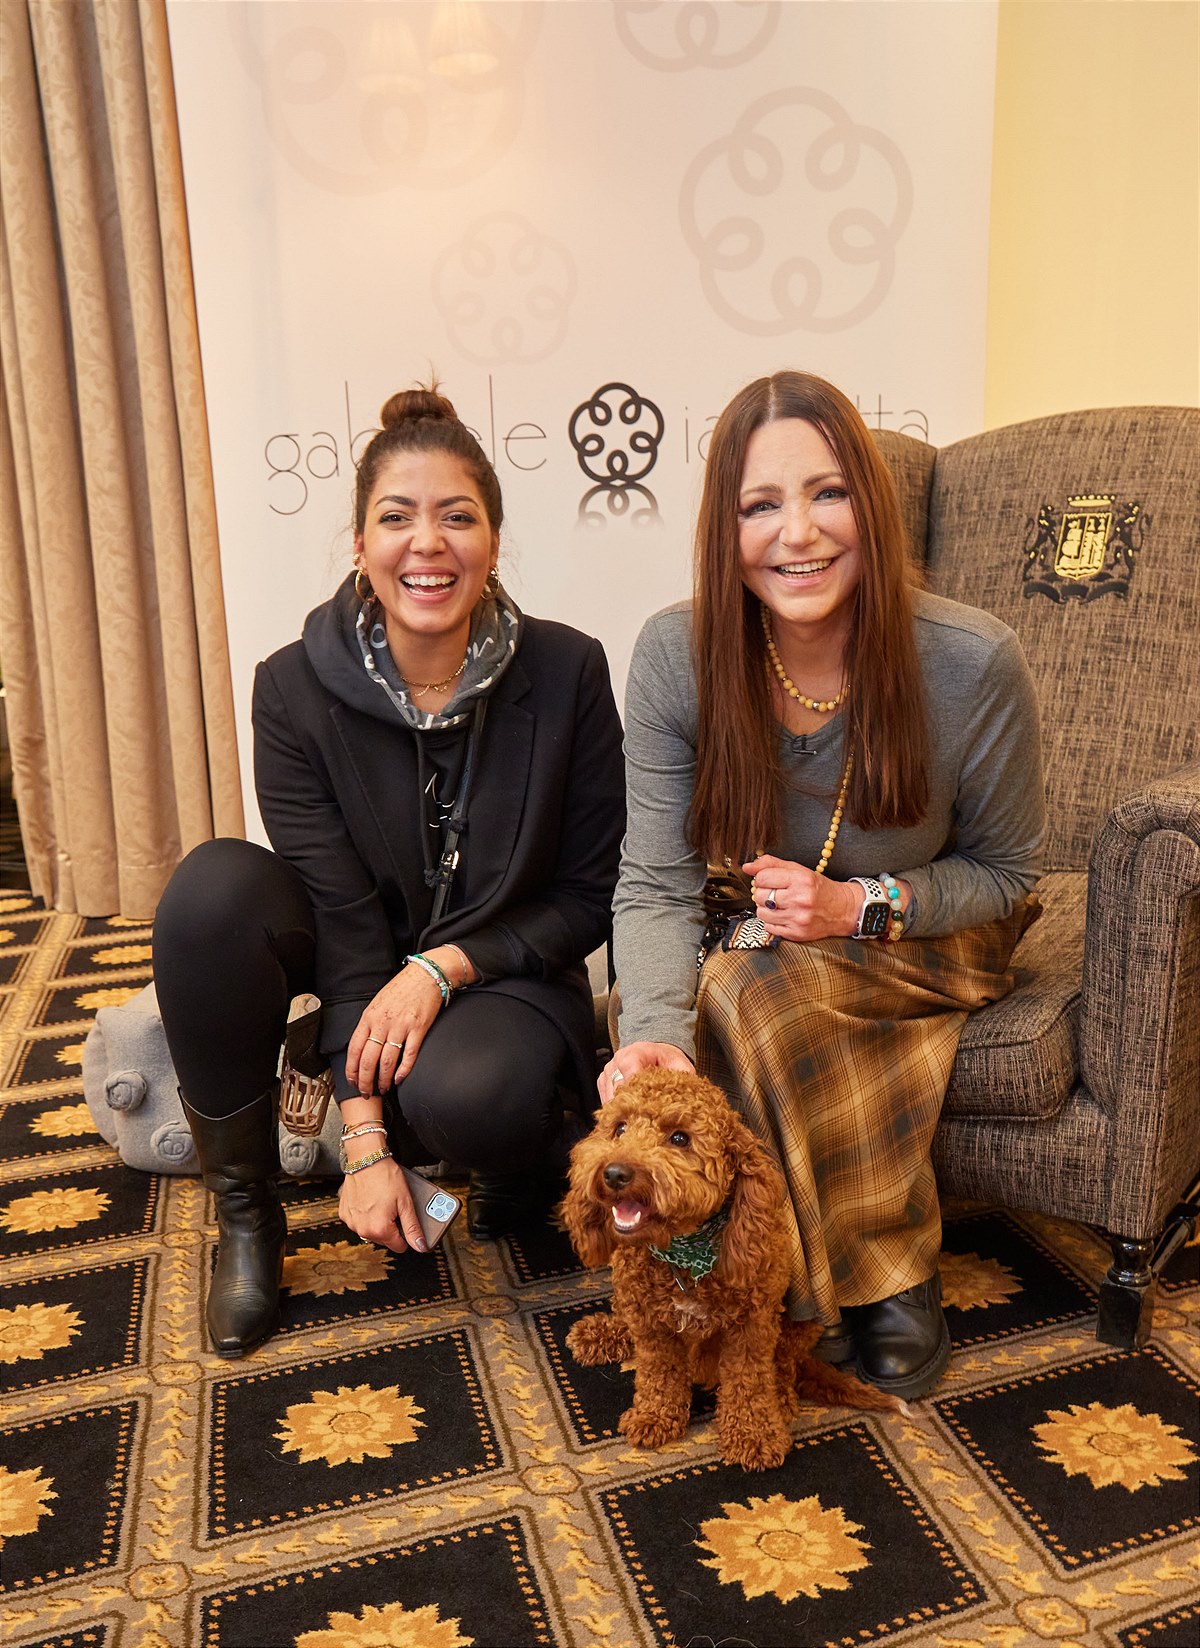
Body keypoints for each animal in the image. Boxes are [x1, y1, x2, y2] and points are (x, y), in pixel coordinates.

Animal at [563, 1067, 896, 1470]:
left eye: (679, 1138)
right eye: (620, 1128)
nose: (614, 1173)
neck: (683, 1259)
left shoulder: (751, 1326)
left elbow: (748, 1380)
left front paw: (753, 1435)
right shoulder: (650, 1323)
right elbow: (658, 1372)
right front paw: (654, 1415)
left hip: (803, 1319)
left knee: (784, 1365)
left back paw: (781, 1400)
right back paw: (602, 1333)